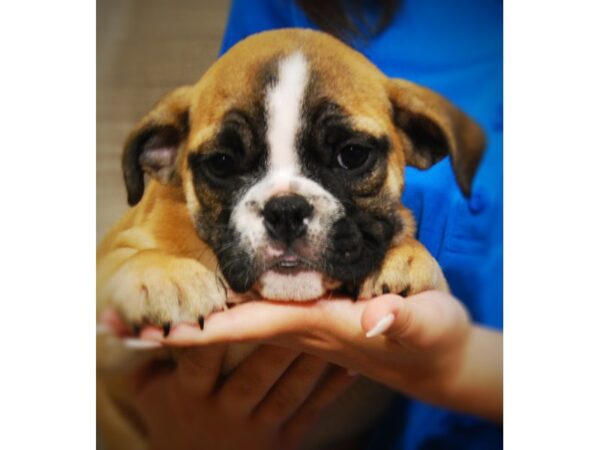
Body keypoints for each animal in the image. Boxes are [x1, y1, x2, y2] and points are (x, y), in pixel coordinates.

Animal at [96, 29, 486, 450]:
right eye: (221, 163)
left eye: (352, 155)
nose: (285, 210)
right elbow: (123, 262)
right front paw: (164, 277)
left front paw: (407, 258)